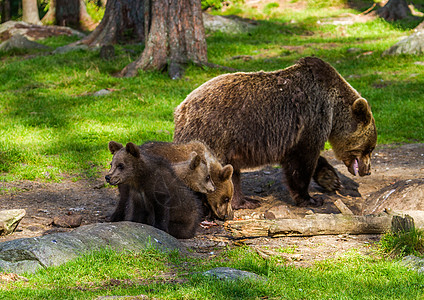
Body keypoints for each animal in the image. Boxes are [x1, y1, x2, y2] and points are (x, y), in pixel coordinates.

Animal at [173, 57, 378, 210]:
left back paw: (245, 201)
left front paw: (331, 179)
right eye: (370, 148)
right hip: (215, 133)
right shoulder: (311, 120)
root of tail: (181, 109)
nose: (368, 171)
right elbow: (301, 162)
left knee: (232, 175)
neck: (333, 111)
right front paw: (311, 199)